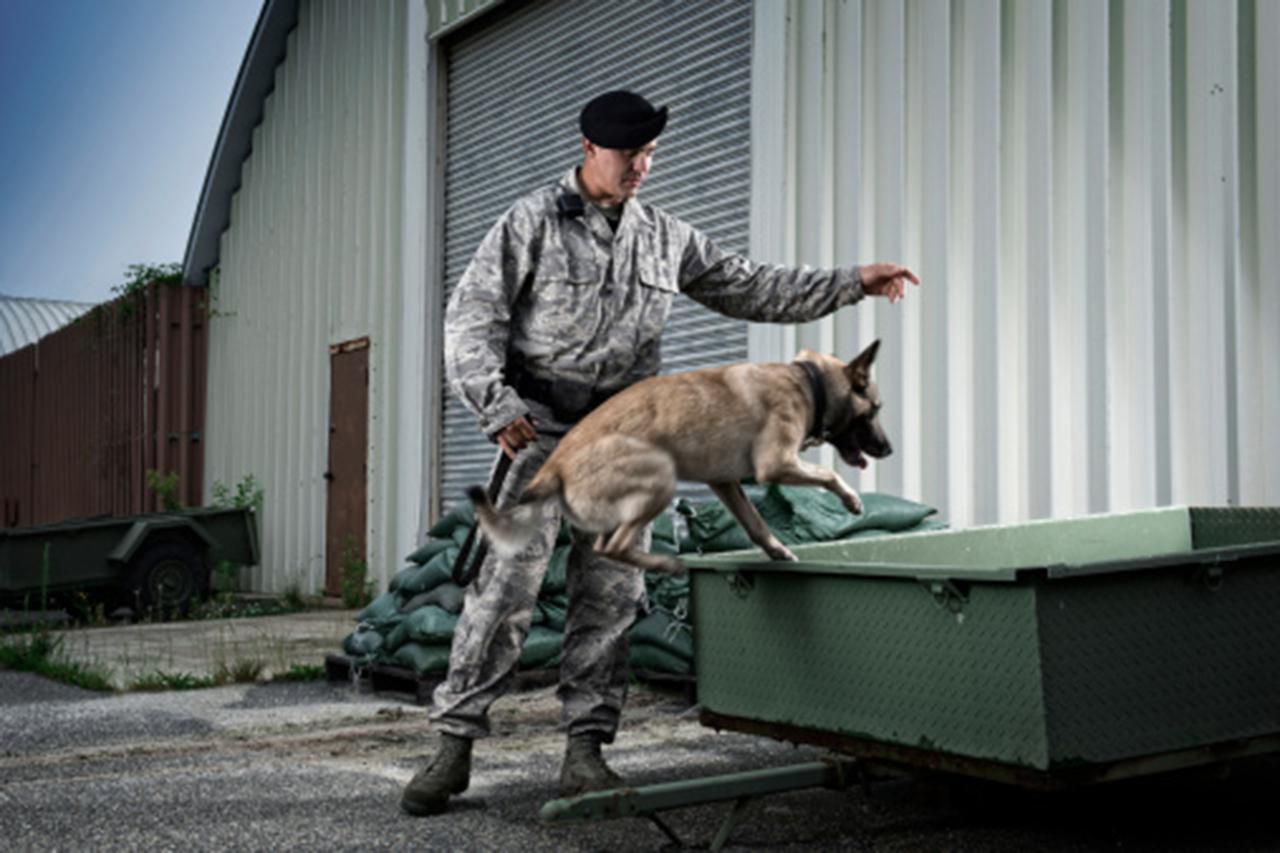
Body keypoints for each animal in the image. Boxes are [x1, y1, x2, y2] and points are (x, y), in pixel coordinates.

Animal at [465, 338, 896, 571]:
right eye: (875, 409)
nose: (889, 449)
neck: (809, 382)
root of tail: (554, 467)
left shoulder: (725, 483)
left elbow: (755, 523)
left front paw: (777, 551)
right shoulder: (776, 465)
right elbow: (829, 476)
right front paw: (852, 501)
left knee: (606, 547)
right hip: (659, 477)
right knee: (613, 548)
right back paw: (666, 564)